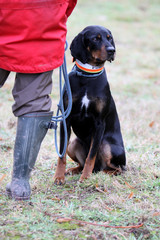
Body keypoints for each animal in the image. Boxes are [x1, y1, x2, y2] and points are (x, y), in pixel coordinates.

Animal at [53, 25, 126, 184]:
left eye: (109, 38)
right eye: (95, 39)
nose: (112, 50)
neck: (88, 76)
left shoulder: (99, 123)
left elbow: (91, 157)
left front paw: (86, 178)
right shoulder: (66, 120)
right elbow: (61, 155)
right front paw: (59, 177)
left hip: (107, 145)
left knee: (118, 169)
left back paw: (101, 173)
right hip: (74, 143)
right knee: (82, 162)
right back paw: (73, 170)